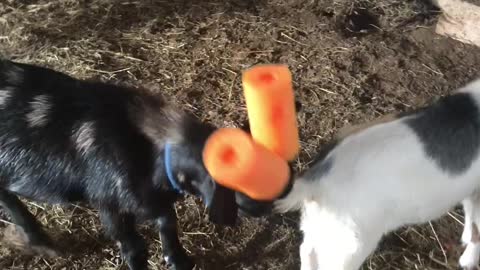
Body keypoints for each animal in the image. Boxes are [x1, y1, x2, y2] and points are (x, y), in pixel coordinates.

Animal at [0, 60, 240, 270]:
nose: (230, 219)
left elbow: (167, 220)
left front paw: (179, 261)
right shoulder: (108, 202)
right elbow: (134, 247)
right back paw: (44, 244)